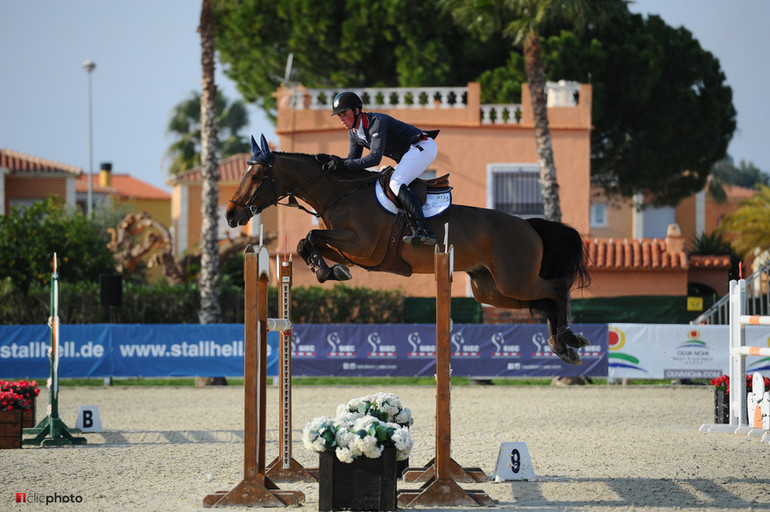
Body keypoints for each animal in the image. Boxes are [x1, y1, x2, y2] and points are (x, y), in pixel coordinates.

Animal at [226, 133, 588, 364]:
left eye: (256, 177)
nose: (231, 215)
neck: (340, 194)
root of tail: (528, 225)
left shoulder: (362, 246)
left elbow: (313, 236)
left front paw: (326, 270)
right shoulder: (351, 251)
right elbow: (307, 242)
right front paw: (327, 270)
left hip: (515, 279)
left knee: (556, 289)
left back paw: (569, 337)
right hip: (493, 290)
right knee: (543, 301)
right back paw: (562, 345)